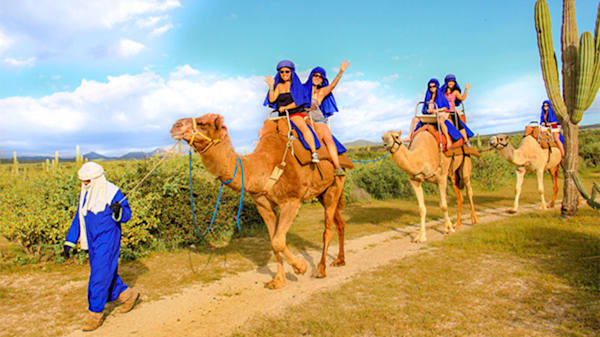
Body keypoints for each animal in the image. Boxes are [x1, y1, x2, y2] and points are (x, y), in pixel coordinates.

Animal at [169, 114, 346, 288]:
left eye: (202, 123)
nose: (175, 126)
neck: (264, 168)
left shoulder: (292, 201)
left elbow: (278, 241)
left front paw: (300, 267)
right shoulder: (263, 206)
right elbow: (273, 242)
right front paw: (278, 281)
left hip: (335, 186)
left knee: (327, 229)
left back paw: (321, 270)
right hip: (322, 192)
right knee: (340, 222)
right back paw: (339, 260)